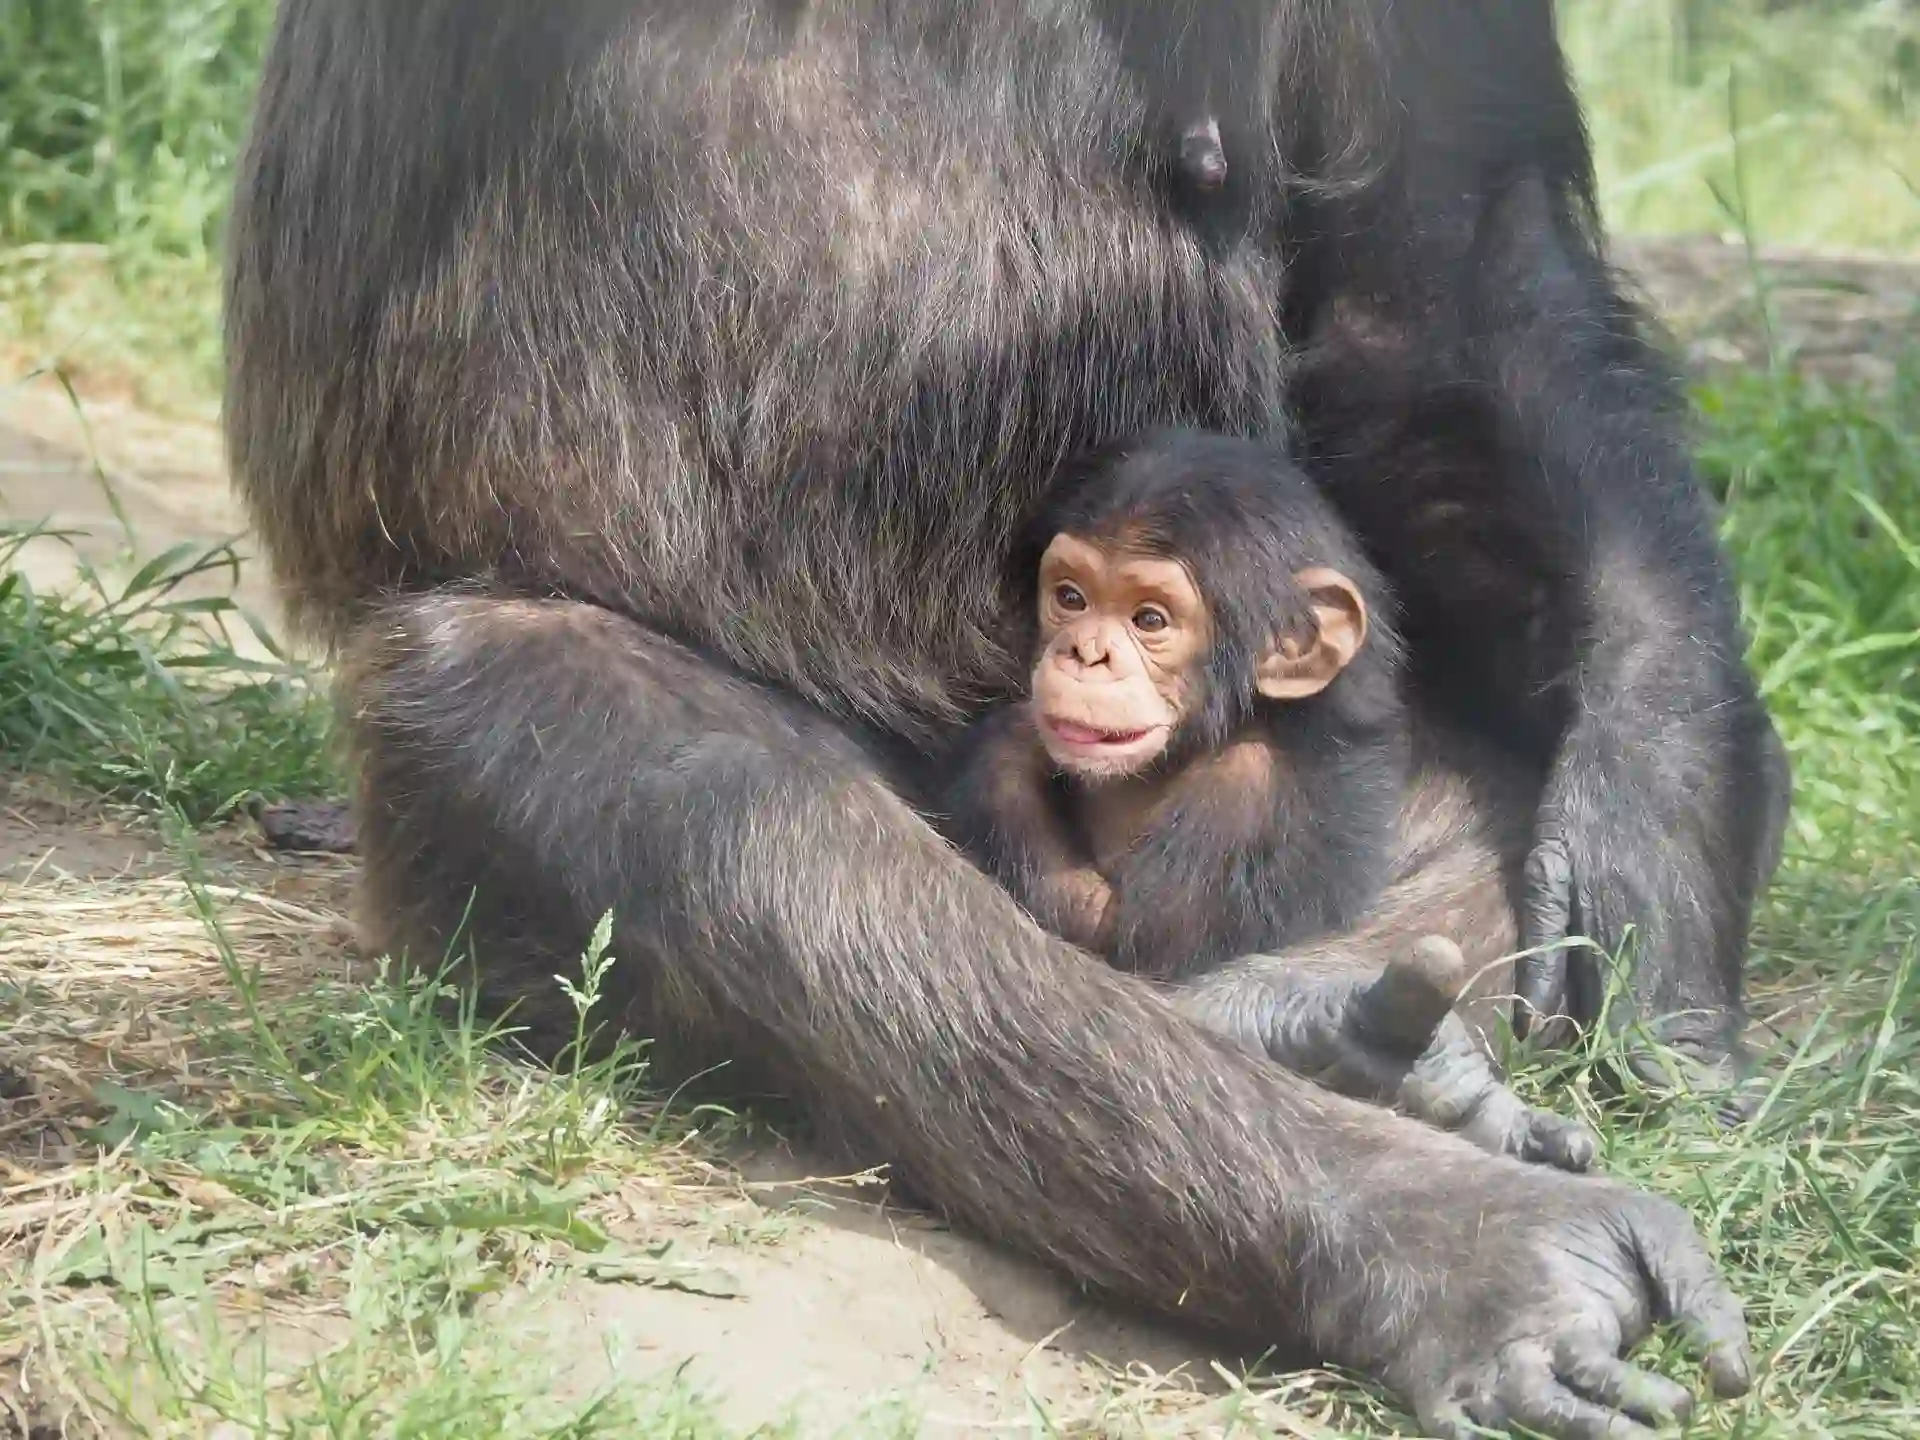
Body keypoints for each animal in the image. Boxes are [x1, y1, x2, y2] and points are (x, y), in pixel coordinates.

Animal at [944, 428, 1443, 990]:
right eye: (1071, 598)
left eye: (1149, 620)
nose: (1086, 653)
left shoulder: (1240, 798)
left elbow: (1118, 935)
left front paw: (1010, 746)